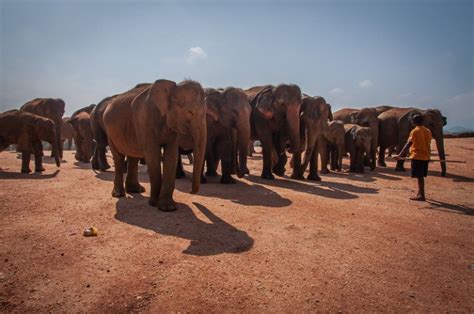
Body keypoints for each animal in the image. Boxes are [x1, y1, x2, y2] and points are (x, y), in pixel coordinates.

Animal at [103, 79, 206, 211]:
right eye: (190, 112)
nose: (189, 190)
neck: (173, 88)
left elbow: (172, 155)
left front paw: (169, 208)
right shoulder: (145, 119)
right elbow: (152, 154)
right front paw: (156, 204)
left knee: (133, 157)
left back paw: (136, 190)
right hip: (109, 131)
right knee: (119, 157)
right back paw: (119, 194)